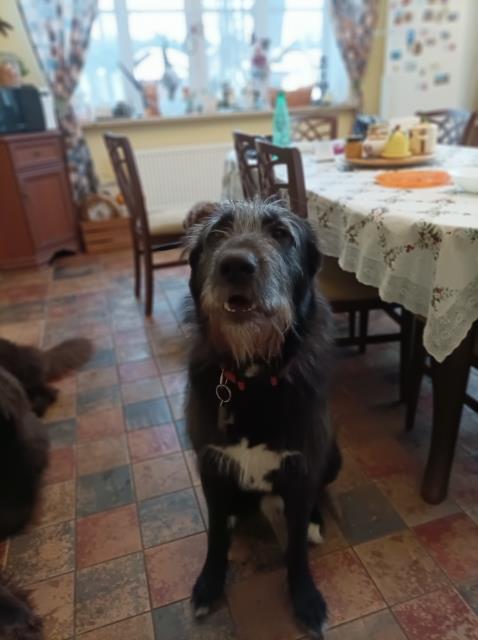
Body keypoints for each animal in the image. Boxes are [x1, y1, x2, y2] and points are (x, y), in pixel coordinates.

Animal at [185, 200, 341, 637]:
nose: (236, 265)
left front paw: (306, 599)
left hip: (332, 456)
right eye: (216, 234)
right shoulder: (211, 465)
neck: (253, 379)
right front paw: (209, 583)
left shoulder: (302, 468)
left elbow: (297, 550)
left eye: (282, 234)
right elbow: (215, 535)